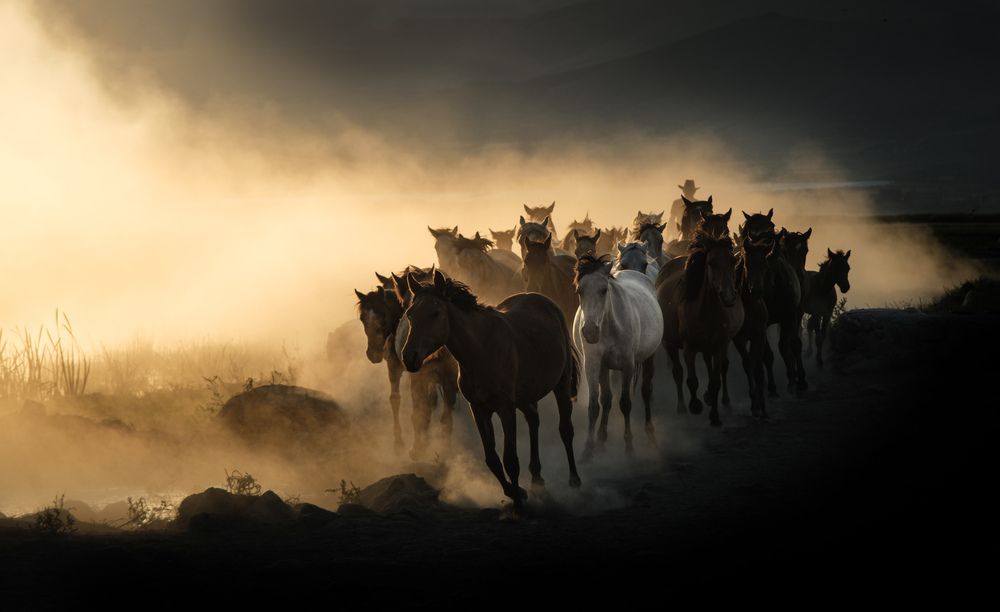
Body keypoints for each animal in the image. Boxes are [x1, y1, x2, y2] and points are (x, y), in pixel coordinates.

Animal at [354, 270, 459, 459]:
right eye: (362, 318)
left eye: (382, 318)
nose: (373, 354)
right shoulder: (397, 369)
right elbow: (398, 401)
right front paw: (402, 443)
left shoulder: (442, 377)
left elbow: (430, 412)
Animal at [400, 270, 581, 507]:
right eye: (410, 314)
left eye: (435, 313)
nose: (408, 357)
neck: (481, 351)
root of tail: (545, 301)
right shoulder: (479, 409)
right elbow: (492, 459)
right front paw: (515, 491)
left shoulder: (505, 408)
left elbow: (510, 459)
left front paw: (519, 501)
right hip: (524, 397)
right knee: (533, 421)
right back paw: (537, 479)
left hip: (561, 385)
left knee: (566, 429)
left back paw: (574, 480)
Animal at [573, 256, 663, 458]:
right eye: (579, 290)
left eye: (604, 290)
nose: (589, 332)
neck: (609, 326)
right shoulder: (593, 364)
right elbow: (594, 405)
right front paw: (588, 448)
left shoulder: (627, 366)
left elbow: (625, 403)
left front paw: (629, 446)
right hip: (605, 368)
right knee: (606, 399)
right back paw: (601, 440)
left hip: (650, 358)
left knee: (646, 391)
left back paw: (651, 436)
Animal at [658, 233, 743, 426]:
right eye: (711, 262)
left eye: (733, 260)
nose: (728, 297)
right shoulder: (688, 347)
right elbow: (692, 380)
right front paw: (695, 406)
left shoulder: (719, 345)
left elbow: (715, 380)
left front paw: (715, 416)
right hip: (670, 344)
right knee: (678, 373)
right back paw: (682, 408)